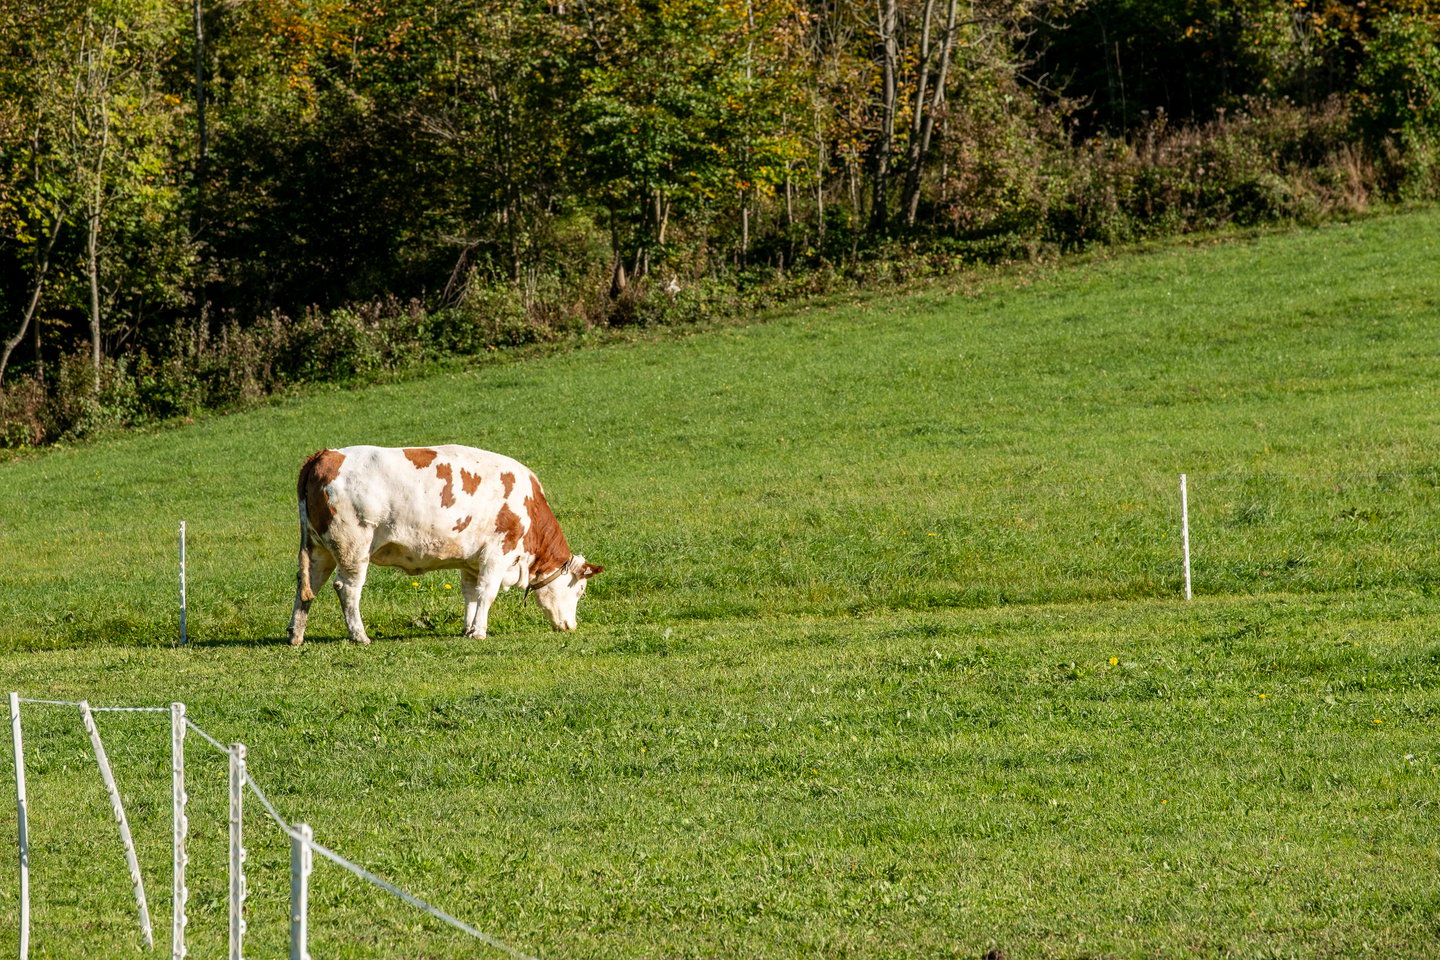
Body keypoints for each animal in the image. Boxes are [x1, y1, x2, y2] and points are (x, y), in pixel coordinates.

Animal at [287, 445, 602, 646]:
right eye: (581, 591)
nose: (571, 626)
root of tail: (325, 454)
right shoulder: (497, 553)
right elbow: (487, 593)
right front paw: (479, 632)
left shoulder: (472, 561)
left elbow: (471, 594)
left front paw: (468, 628)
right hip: (353, 547)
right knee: (347, 589)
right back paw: (360, 636)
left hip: (318, 548)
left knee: (307, 585)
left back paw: (295, 635)